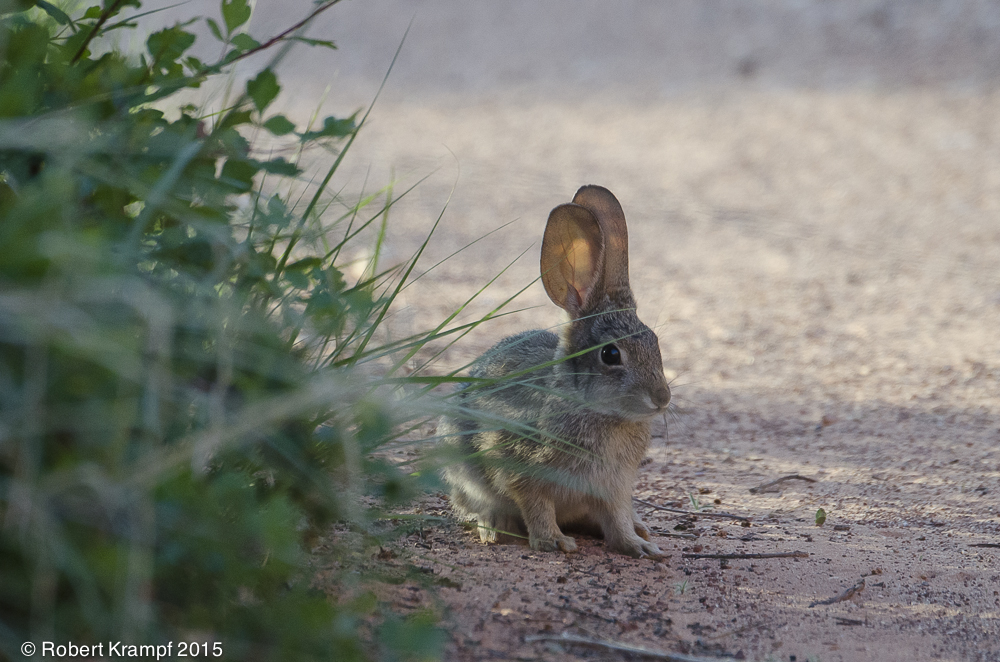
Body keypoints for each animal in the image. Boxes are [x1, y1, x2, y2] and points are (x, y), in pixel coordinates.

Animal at [439, 185, 671, 559]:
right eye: (610, 354)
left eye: (655, 341)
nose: (662, 398)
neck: (595, 411)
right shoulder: (522, 472)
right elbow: (537, 507)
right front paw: (554, 541)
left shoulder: (614, 488)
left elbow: (617, 519)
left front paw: (639, 546)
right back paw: (493, 525)